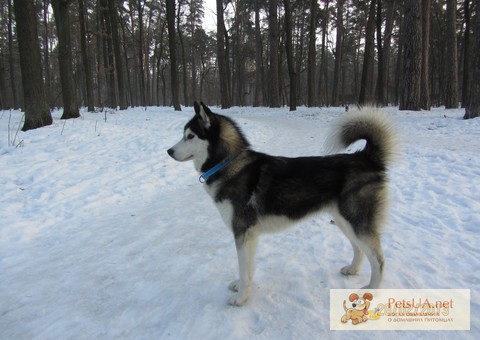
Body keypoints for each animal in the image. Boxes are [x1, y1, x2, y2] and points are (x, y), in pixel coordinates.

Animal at [167, 102, 396, 306]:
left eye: (190, 136)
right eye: (183, 134)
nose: (169, 151)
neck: (228, 163)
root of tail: (365, 157)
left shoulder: (242, 231)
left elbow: (244, 269)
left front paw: (240, 299)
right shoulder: (250, 235)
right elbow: (248, 269)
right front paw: (242, 287)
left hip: (356, 222)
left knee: (379, 260)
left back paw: (372, 290)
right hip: (344, 221)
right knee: (359, 250)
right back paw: (352, 270)